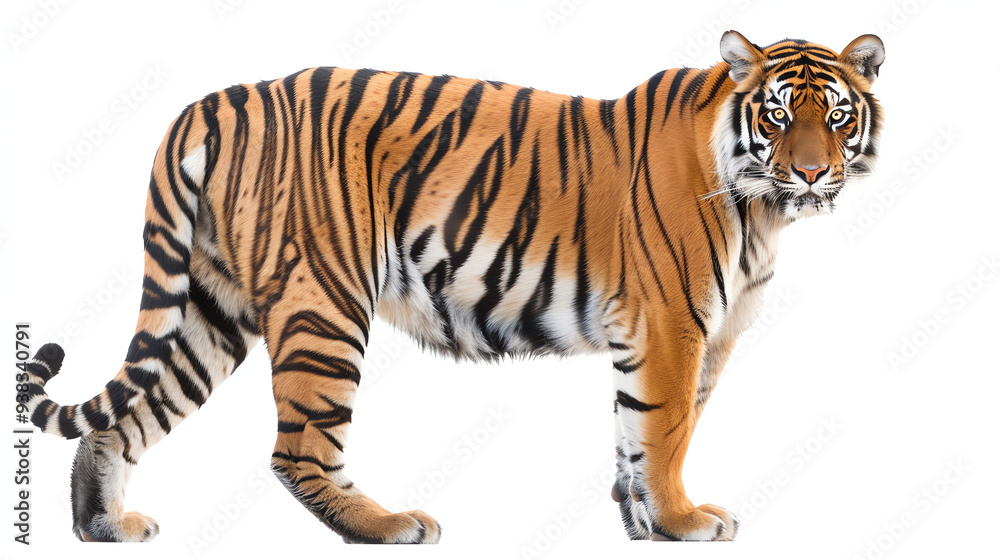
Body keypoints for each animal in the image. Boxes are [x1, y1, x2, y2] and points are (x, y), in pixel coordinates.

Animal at [20, 30, 884, 543]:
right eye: (778, 117)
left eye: (837, 117)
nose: (813, 172)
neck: (762, 210)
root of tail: (220, 99)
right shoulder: (673, 325)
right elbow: (666, 428)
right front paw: (681, 520)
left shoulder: (699, 335)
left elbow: (640, 431)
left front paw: (641, 520)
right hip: (323, 305)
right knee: (296, 450)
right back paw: (389, 525)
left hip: (212, 305)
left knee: (122, 419)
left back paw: (103, 526)